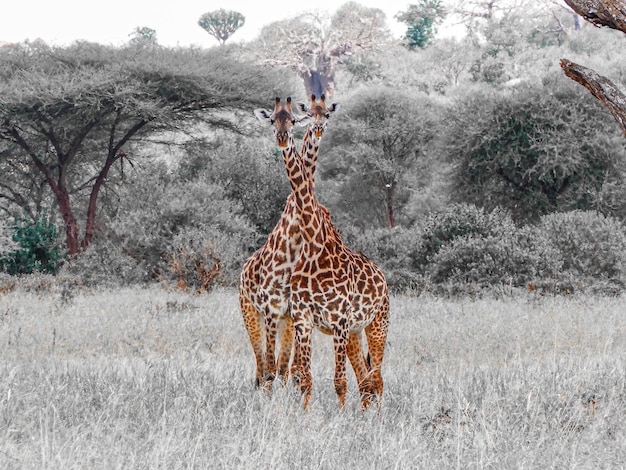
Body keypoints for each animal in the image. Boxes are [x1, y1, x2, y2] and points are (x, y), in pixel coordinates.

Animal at [239, 93, 338, 388]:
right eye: (273, 120)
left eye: (327, 114)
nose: (317, 129)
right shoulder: (272, 307)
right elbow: (272, 368)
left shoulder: (292, 311)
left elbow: (288, 369)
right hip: (251, 313)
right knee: (261, 366)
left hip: (282, 319)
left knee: (277, 367)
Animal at [254, 95, 386, 408]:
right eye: (272, 120)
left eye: (292, 120)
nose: (281, 138)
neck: (314, 245)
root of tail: (384, 279)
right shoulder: (303, 319)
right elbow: (305, 378)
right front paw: (304, 414)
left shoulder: (338, 319)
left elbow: (338, 382)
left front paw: (337, 417)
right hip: (352, 331)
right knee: (365, 379)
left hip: (377, 324)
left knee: (376, 379)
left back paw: (377, 416)